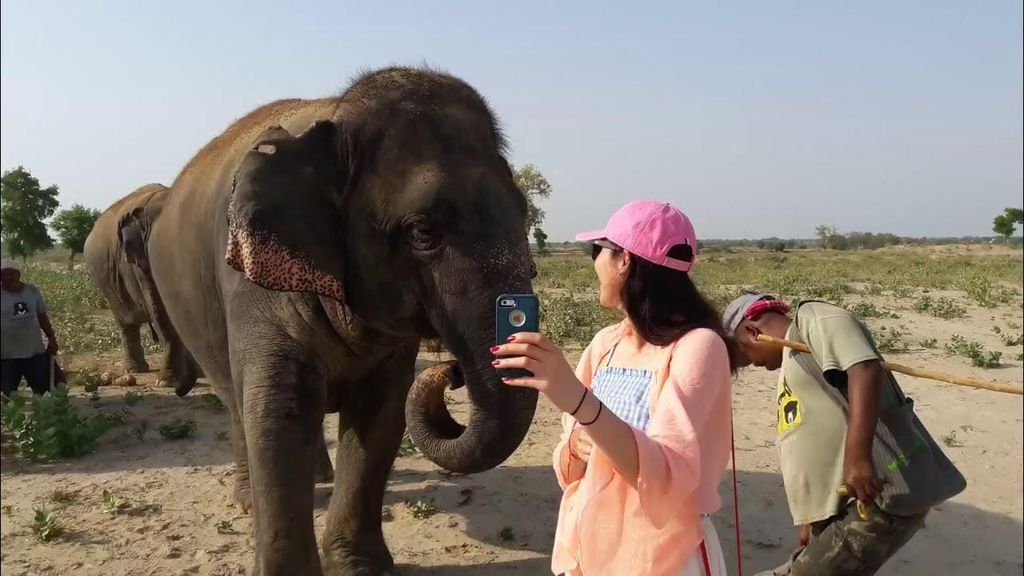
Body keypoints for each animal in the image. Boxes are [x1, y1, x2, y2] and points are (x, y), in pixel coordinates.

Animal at [84, 184, 199, 396]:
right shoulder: (140, 265)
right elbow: (160, 311)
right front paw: (166, 382)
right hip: (107, 285)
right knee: (125, 323)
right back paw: (135, 370)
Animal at [146, 67, 537, 575]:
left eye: (524, 211)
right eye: (423, 231)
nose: (450, 371)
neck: (336, 119)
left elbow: (382, 412)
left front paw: (361, 568)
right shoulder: (255, 288)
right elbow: (279, 410)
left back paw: (320, 477)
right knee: (235, 402)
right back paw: (249, 499)